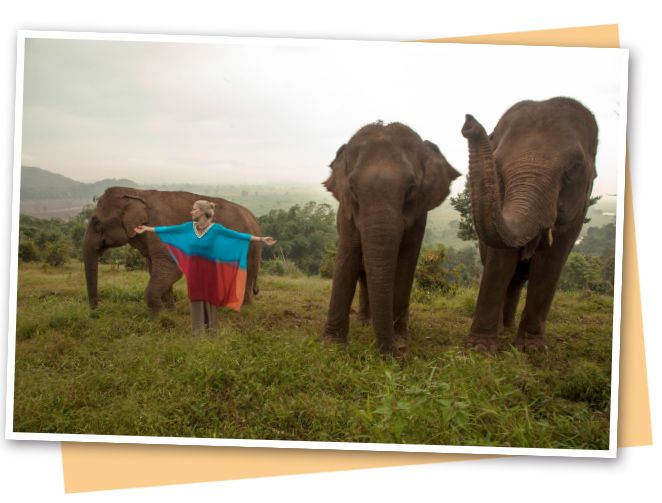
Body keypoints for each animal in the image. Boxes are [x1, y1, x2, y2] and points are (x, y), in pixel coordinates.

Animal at [322, 121, 460, 356]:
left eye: (411, 189)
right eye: (352, 189)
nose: (398, 354)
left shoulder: (420, 213)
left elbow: (406, 259)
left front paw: (400, 338)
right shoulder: (347, 212)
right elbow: (348, 255)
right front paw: (333, 345)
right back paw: (365, 322)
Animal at [461, 97, 598, 351]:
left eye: (575, 168)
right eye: (497, 163)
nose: (469, 123)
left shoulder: (578, 212)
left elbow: (552, 261)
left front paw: (532, 348)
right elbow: (500, 259)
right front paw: (480, 348)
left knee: (518, 280)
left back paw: (508, 328)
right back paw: (502, 329)